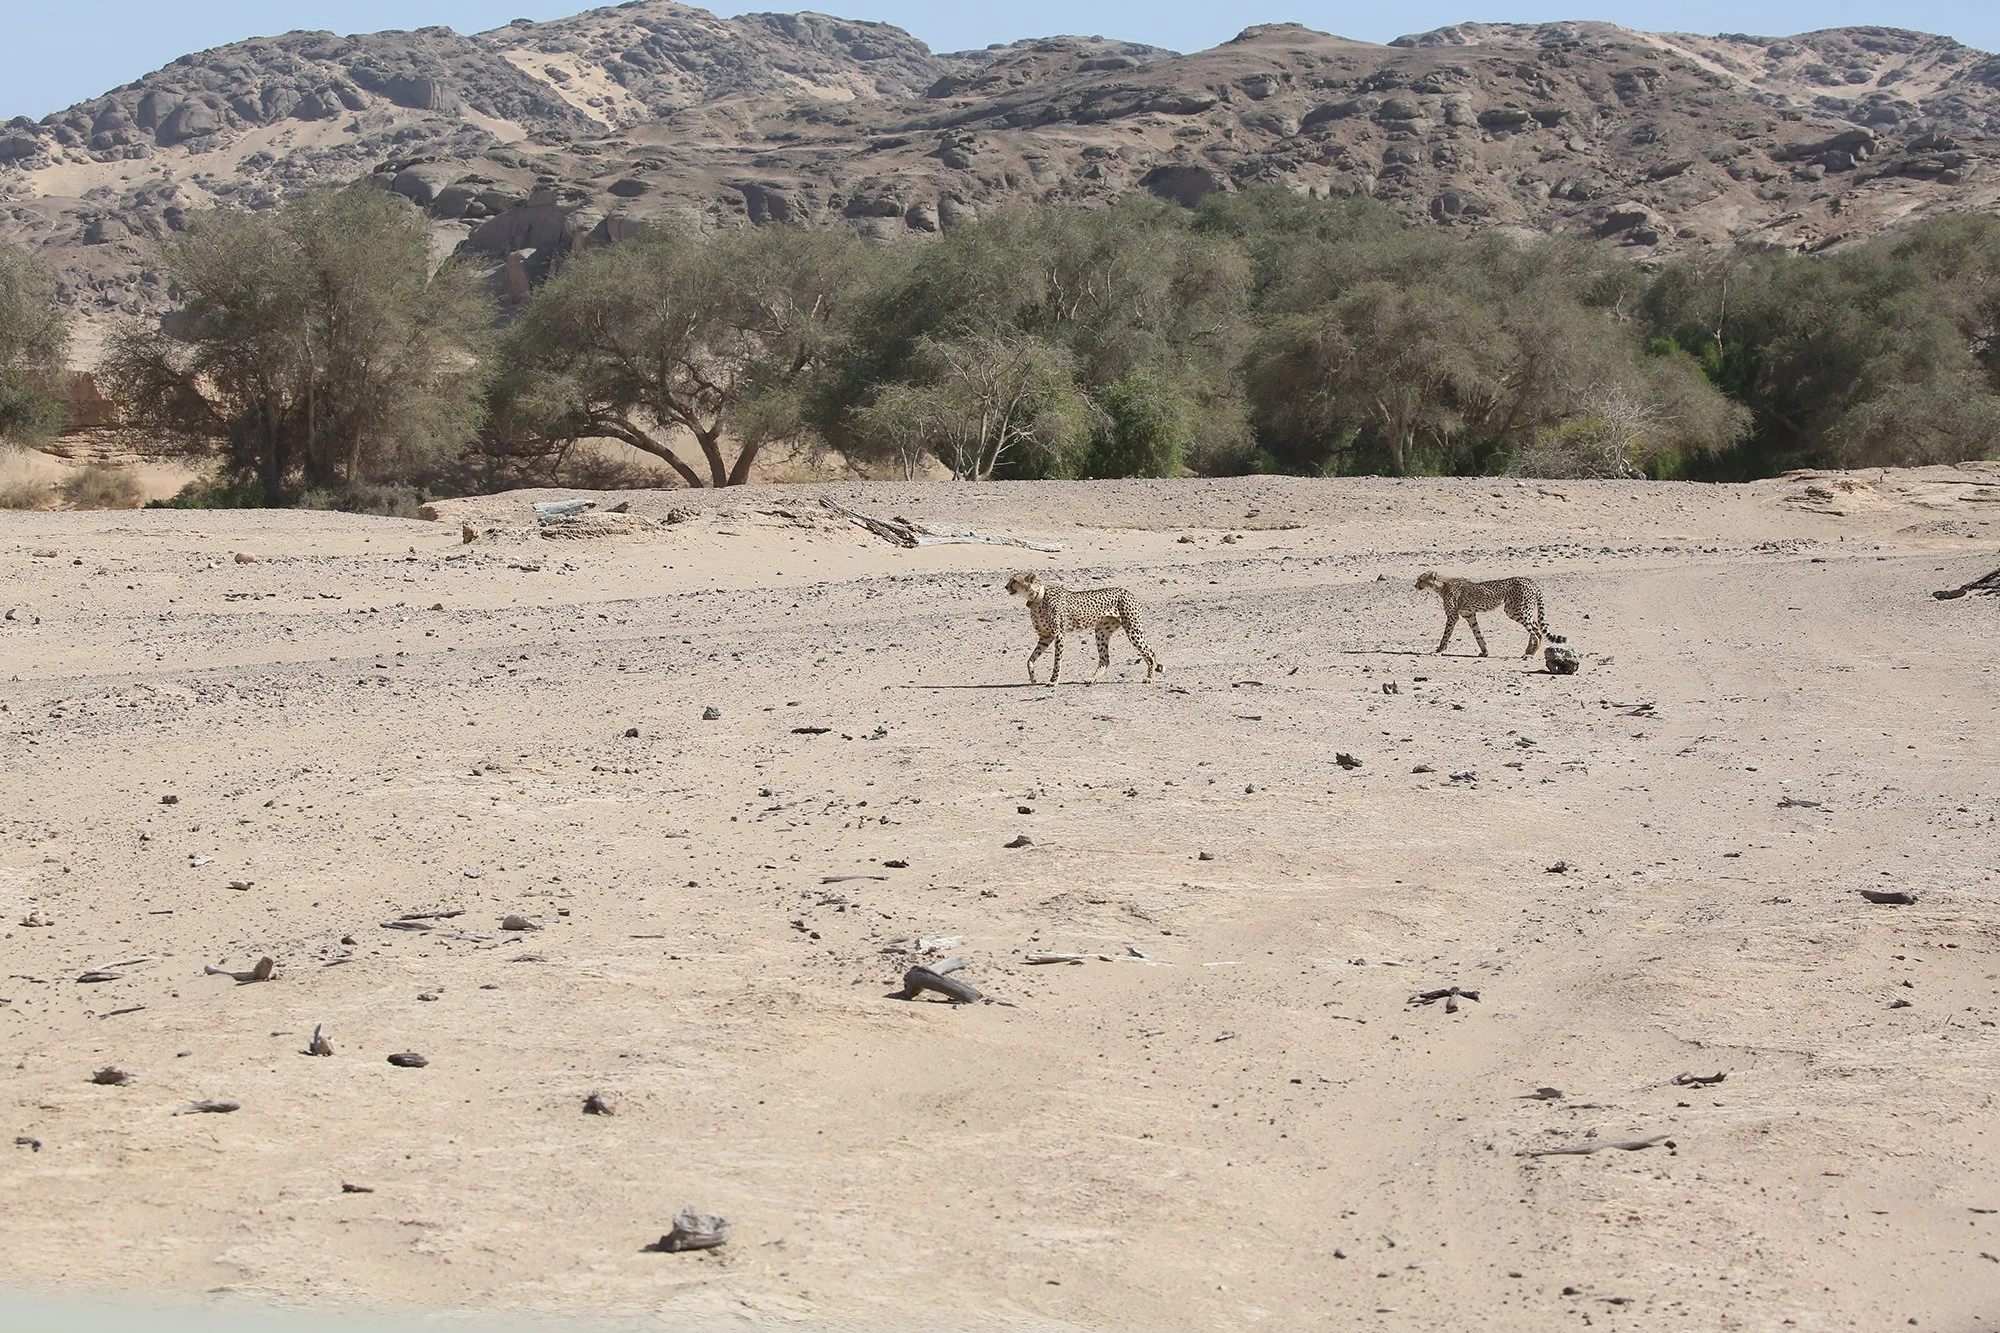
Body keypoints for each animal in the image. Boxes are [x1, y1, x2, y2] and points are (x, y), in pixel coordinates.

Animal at [1005, 573, 1159, 685]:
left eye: (1014, 580)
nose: (1005, 587)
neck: (1038, 598)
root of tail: (1127, 591)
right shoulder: (1045, 637)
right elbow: (1030, 659)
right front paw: (1033, 678)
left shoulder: (1059, 635)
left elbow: (1057, 661)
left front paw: (1053, 681)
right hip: (1101, 632)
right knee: (1105, 659)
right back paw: (1092, 679)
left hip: (1133, 630)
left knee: (1150, 652)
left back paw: (1150, 678)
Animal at [1415, 571, 1566, 659]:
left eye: (1421, 580)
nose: (1415, 585)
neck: (1441, 585)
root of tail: (1529, 580)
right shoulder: (1470, 615)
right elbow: (1478, 634)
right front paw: (1484, 652)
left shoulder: (1453, 616)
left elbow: (1446, 635)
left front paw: (1439, 651)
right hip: (1520, 610)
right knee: (1535, 626)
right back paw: (1528, 651)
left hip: (1515, 610)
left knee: (1537, 631)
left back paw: (1531, 655)